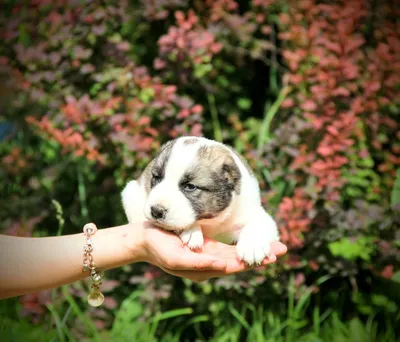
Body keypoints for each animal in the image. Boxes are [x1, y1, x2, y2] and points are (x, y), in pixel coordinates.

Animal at [120, 136, 280, 264]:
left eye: (190, 187)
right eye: (157, 178)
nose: (156, 211)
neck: (212, 221)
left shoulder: (254, 211)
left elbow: (258, 224)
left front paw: (252, 246)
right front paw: (192, 231)